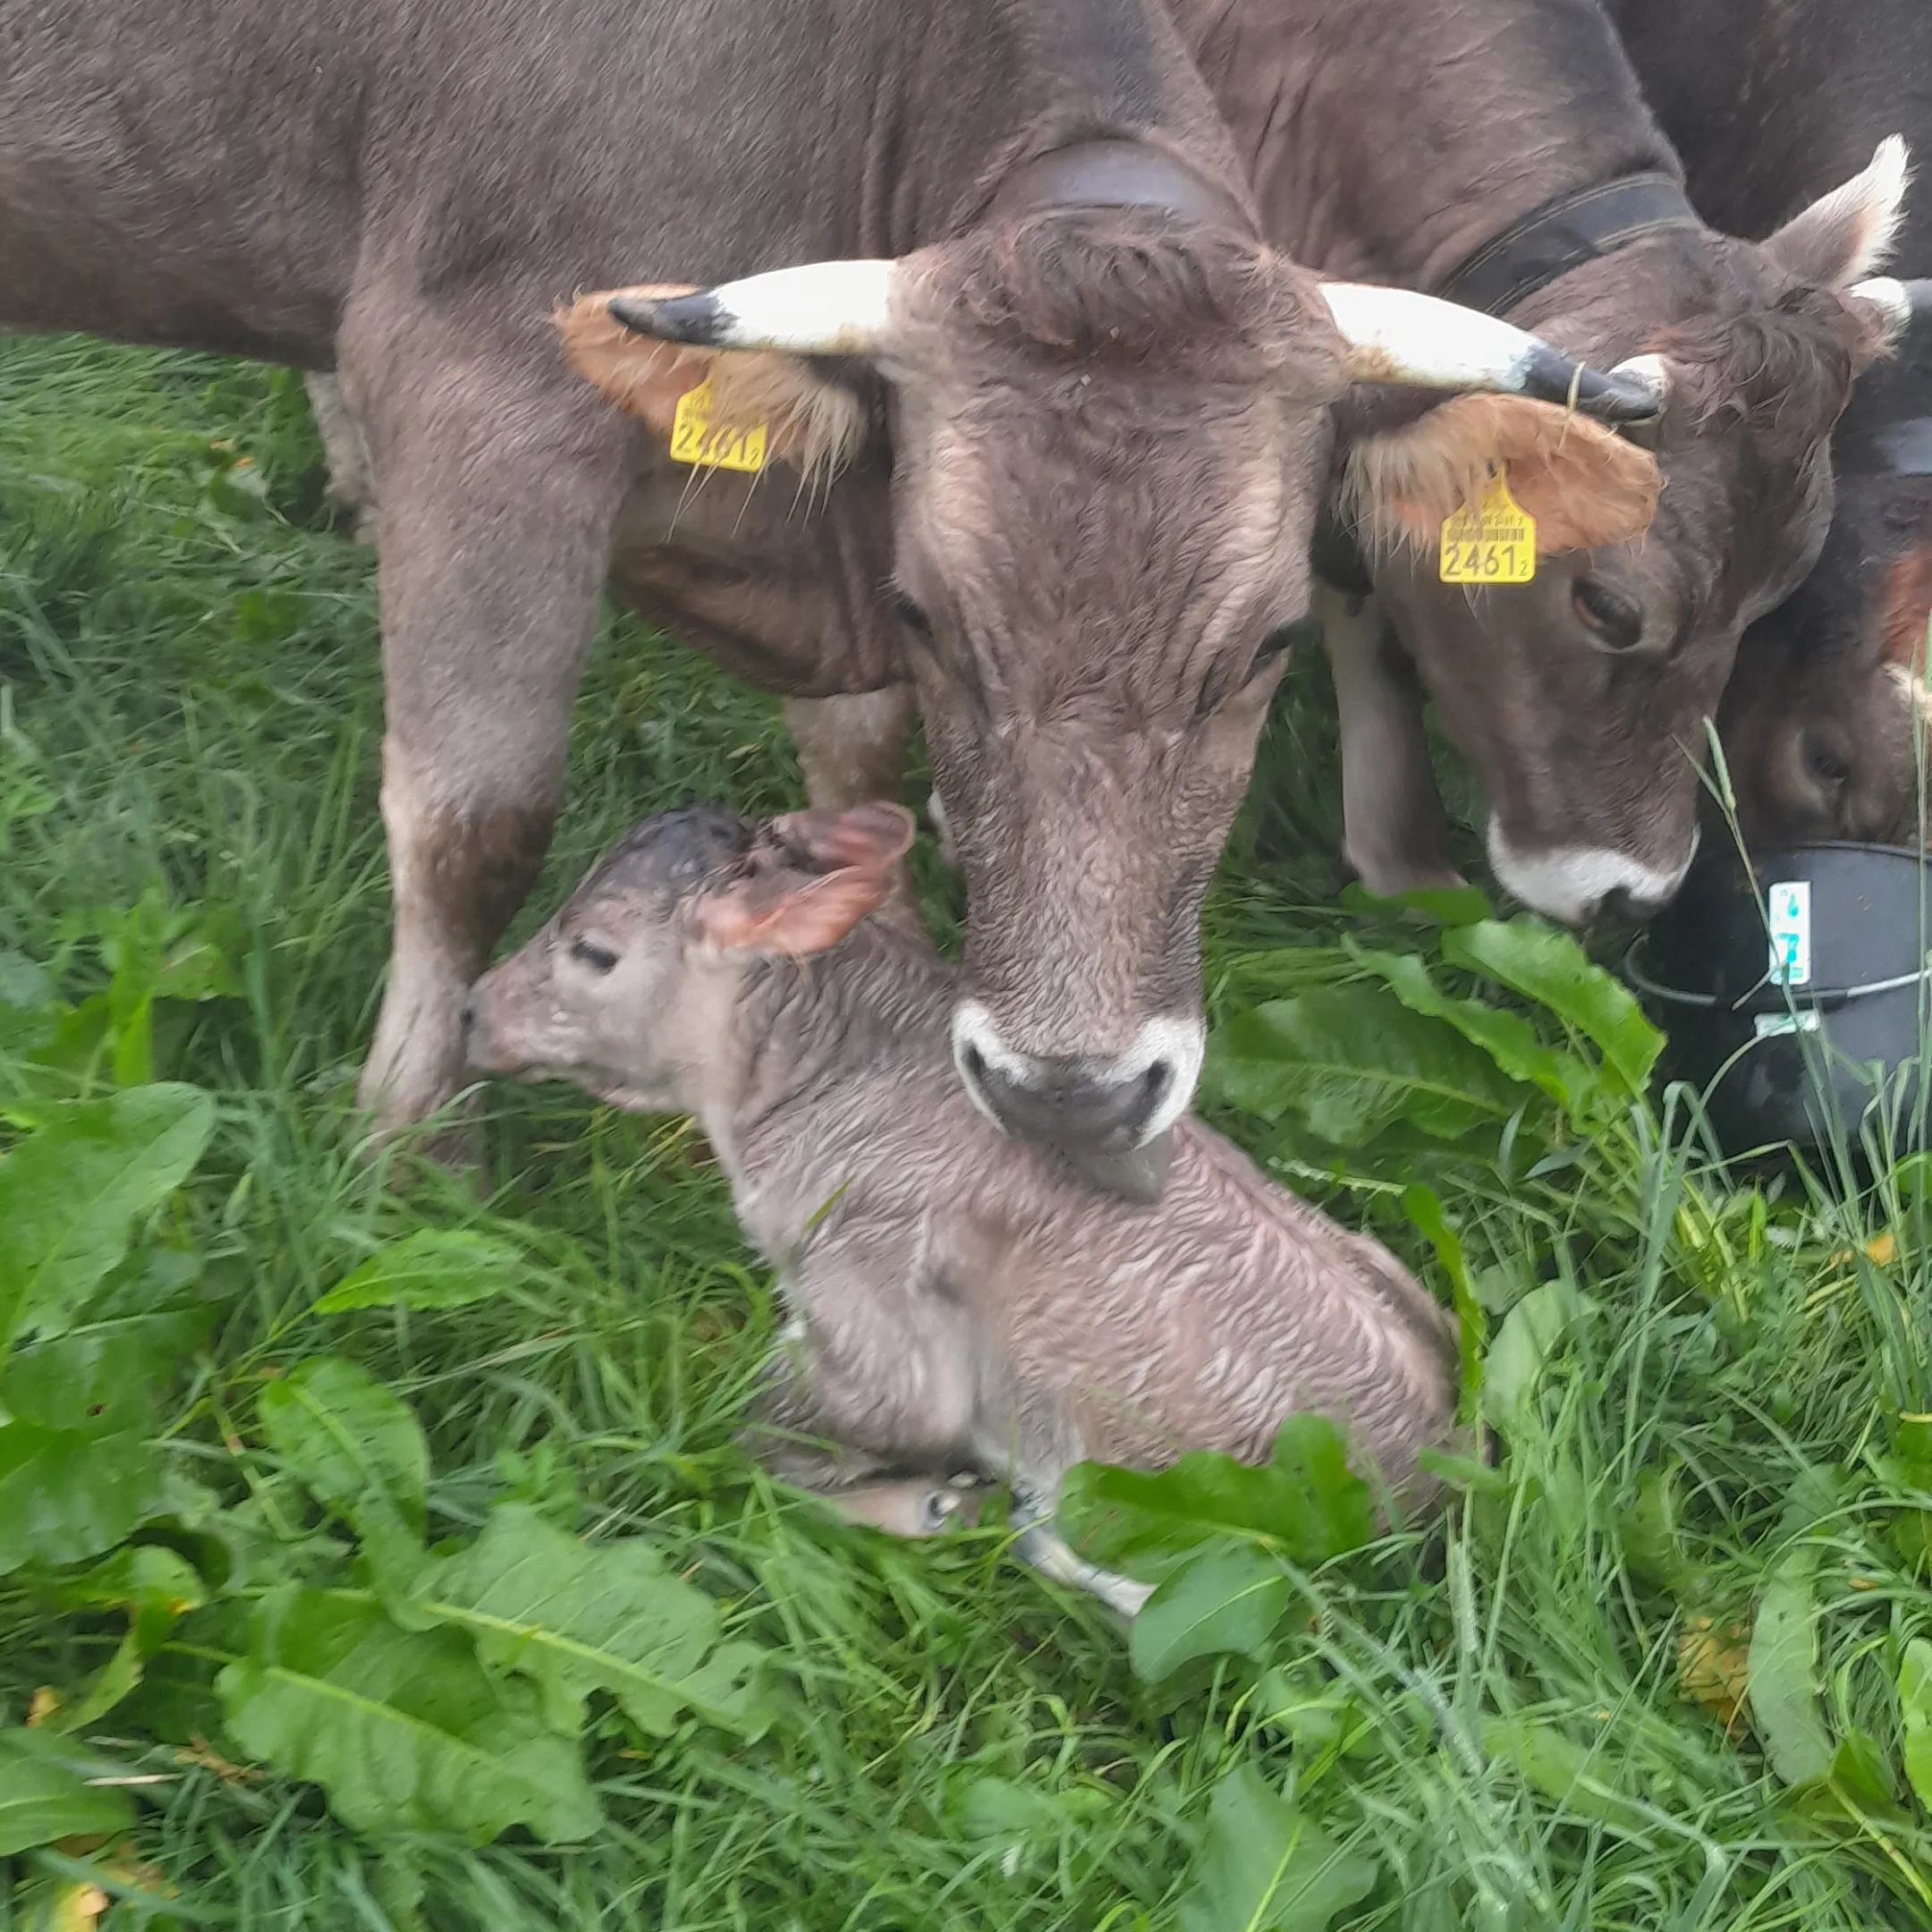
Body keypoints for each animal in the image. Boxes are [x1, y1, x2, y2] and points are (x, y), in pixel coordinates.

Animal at [0, 0, 1661, 1192]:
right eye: (931, 613)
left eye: (1266, 646)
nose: (1073, 1097)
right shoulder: (479, 387)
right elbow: (477, 822)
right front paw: (412, 1149)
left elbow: (856, 767)